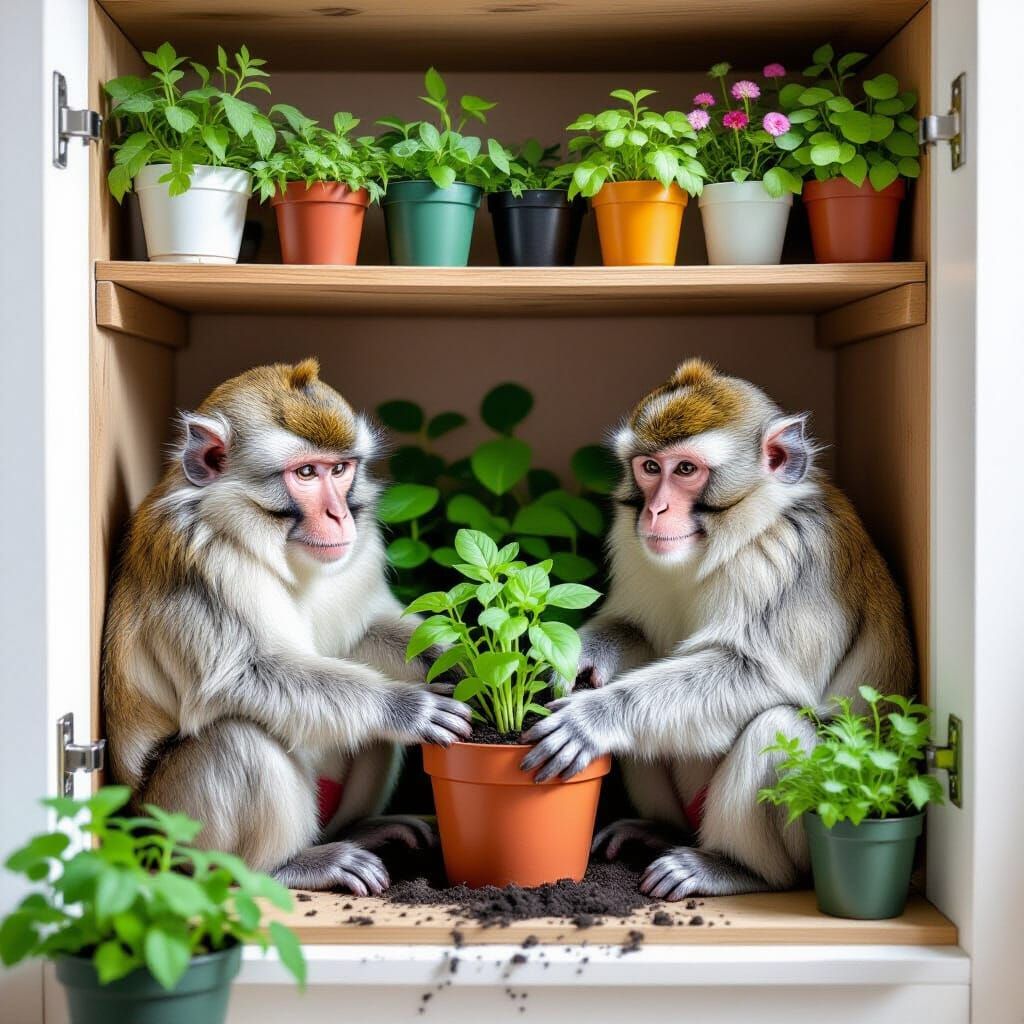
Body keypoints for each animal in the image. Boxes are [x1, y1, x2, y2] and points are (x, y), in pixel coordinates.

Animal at [102, 359, 471, 893]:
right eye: (306, 473)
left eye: (339, 469)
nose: (339, 516)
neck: (255, 533)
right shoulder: (200, 566)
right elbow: (243, 674)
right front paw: (406, 707)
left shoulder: (357, 554)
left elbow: (362, 633)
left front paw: (482, 666)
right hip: (170, 829)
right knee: (238, 738)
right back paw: (288, 865)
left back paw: (361, 829)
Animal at [521, 359, 913, 899]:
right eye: (649, 468)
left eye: (685, 470)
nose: (655, 510)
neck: (735, 534)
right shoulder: (632, 542)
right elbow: (636, 629)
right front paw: (580, 655)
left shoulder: (795, 556)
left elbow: (761, 675)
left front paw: (593, 718)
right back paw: (659, 830)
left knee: (777, 725)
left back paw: (733, 868)